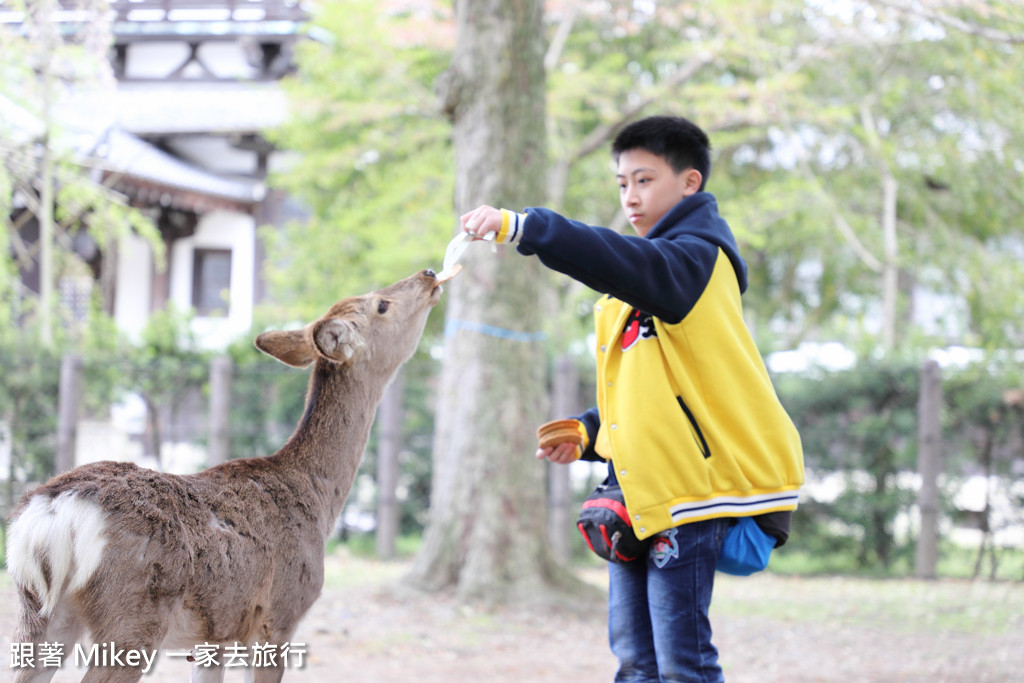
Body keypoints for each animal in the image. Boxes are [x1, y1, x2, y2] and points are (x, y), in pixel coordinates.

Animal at [7, 270, 448, 679]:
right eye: (381, 304)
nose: (428, 274)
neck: (321, 501)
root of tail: (51, 513)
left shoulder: (214, 635)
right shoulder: (278, 616)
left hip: (40, 613)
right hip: (132, 616)